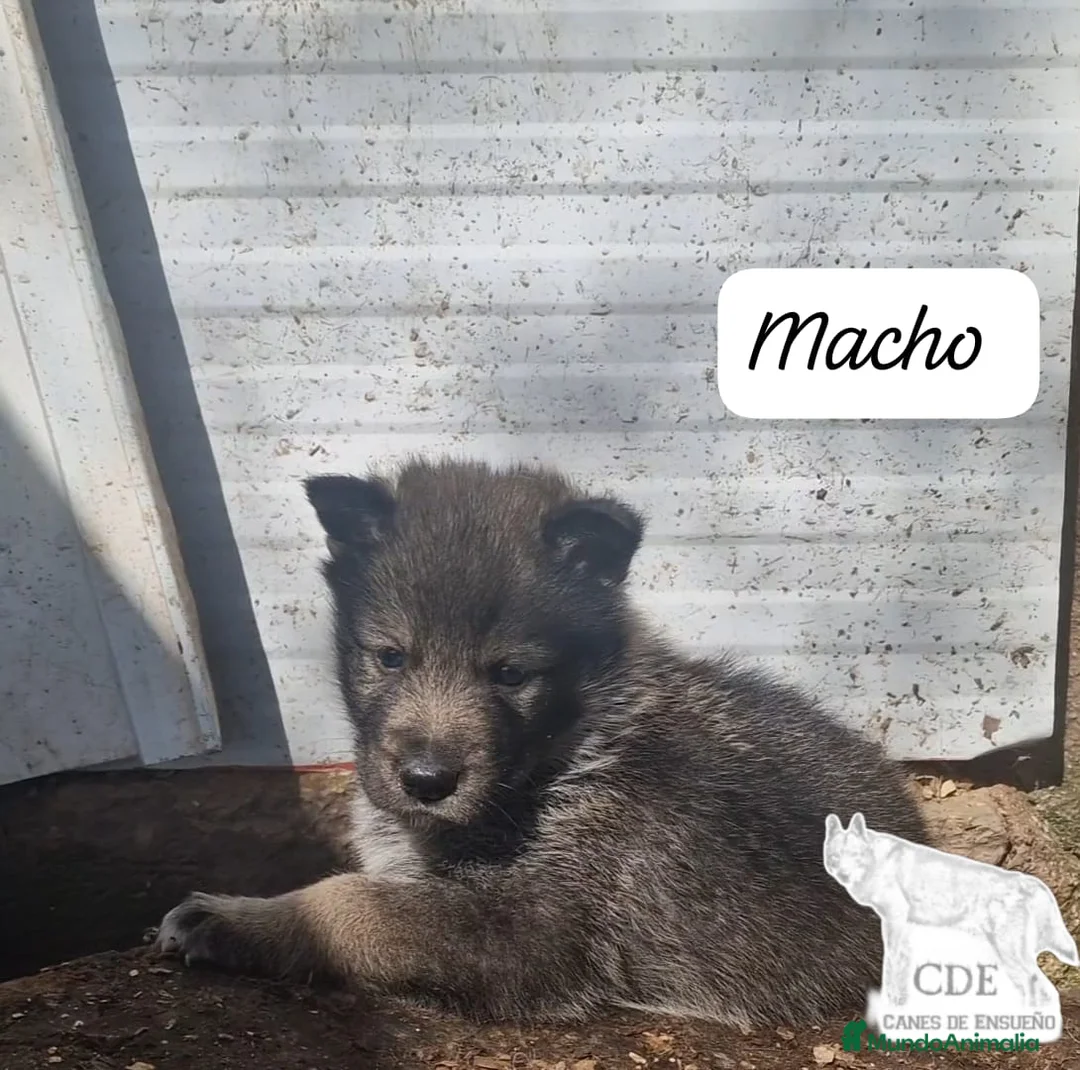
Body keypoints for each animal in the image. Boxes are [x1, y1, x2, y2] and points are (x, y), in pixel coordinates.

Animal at [157, 457, 929, 1025]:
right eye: (390, 657)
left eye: (511, 674)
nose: (426, 782)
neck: (571, 753)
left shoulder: (536, 927)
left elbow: (354, 904)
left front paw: (234, 918)